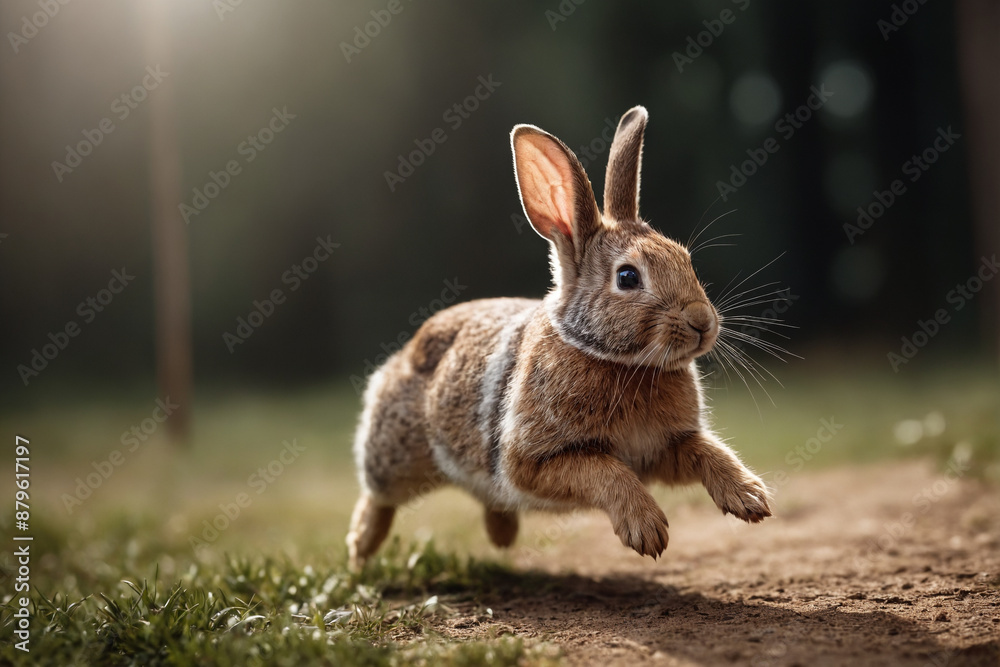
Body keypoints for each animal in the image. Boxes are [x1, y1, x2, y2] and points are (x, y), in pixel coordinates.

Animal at [347, 106, 771, 568]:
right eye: (627, 277)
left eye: (685, 259)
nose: (702, 322)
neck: (613, 357)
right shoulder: (535, 461)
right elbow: (604, 471)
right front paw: (647, 531)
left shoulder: (663, 449)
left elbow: (706, 450)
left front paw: (750, 499)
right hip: (398, 457)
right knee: (379, 494)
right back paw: (361, 548)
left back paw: (502, 537)